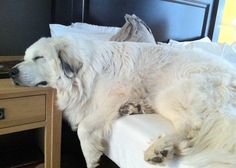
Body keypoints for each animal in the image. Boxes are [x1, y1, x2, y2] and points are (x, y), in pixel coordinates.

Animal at [10, 37, 236, 168]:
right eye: (26, 57)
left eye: (39, 58)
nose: (11, 72)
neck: (86, 71)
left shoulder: (112, 98)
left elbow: (84, 128)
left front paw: (91, 157)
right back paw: (137, 109)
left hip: (168, 94)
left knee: (191, 124)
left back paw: (160, 147)